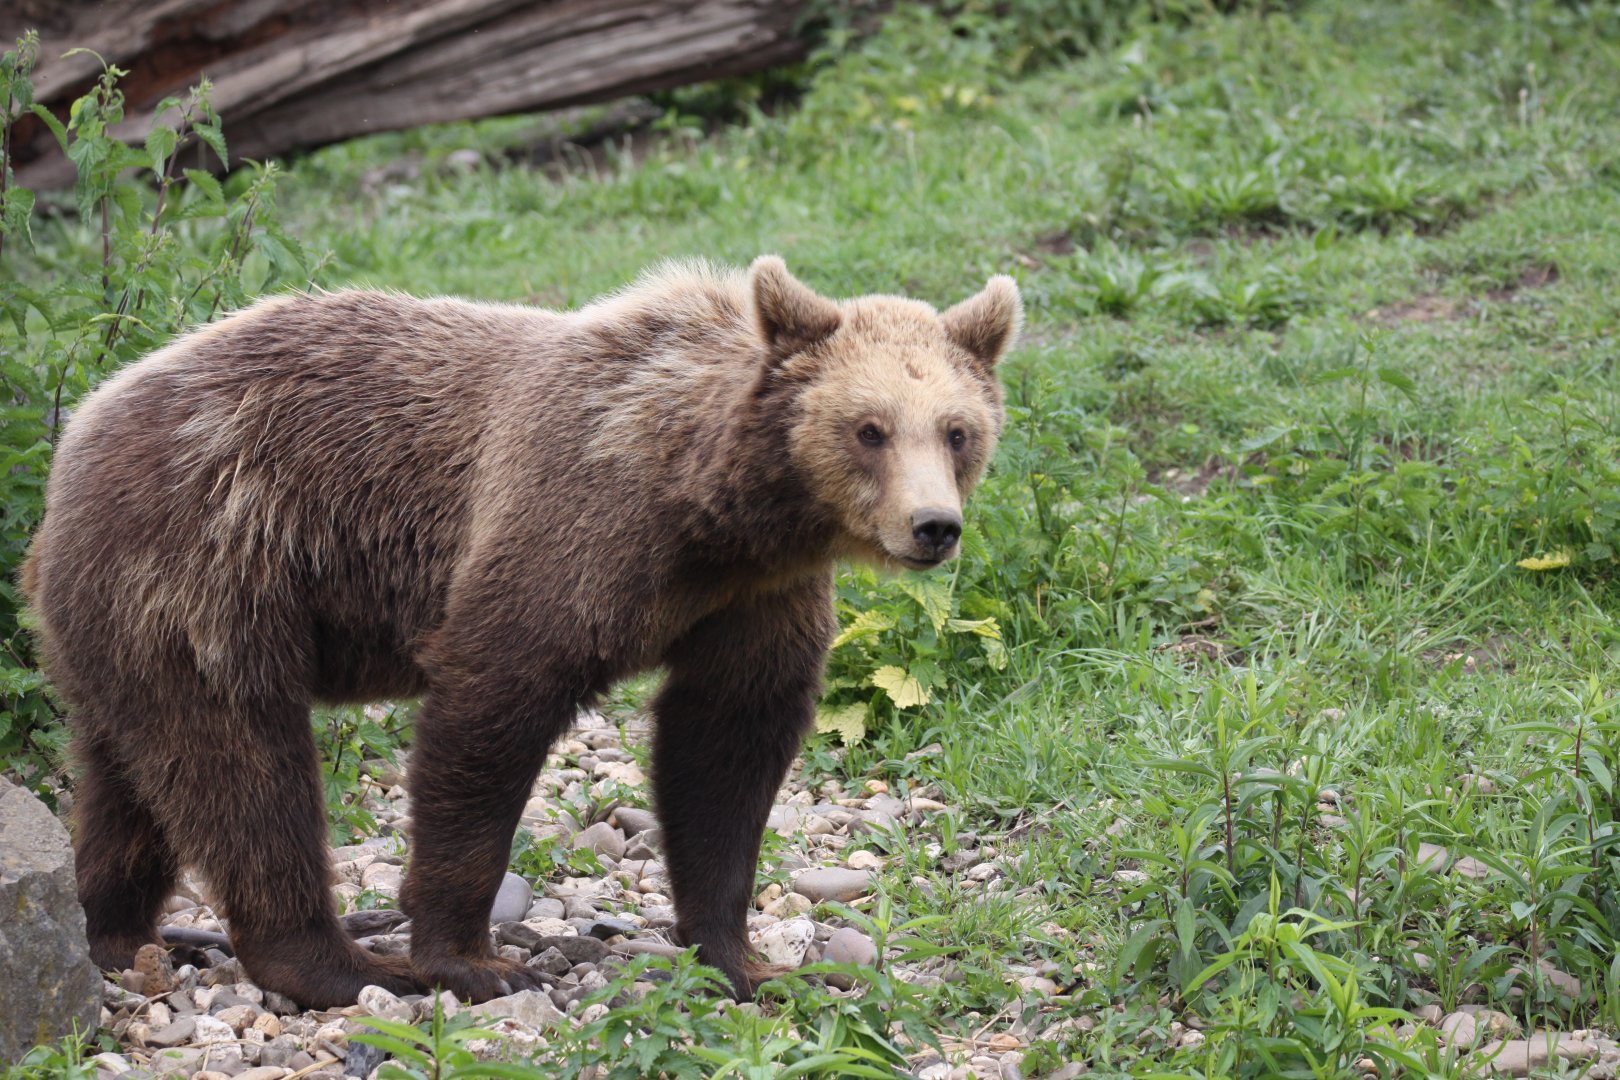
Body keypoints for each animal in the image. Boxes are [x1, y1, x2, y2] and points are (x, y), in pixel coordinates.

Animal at [20, 256, 1020, 1007]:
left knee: (132, 775)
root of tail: (80, 430)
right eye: (869, 429)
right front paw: (475, 960)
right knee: (243, 766)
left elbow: (727, 749)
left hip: (126, 617)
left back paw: (115, 931)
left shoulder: (750, 599)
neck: (710, 506)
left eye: (957, 430)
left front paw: (748, 960)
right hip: (212, 558)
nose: (934, 526)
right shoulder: (573, 521)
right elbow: (490, 710)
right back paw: (341, 963)